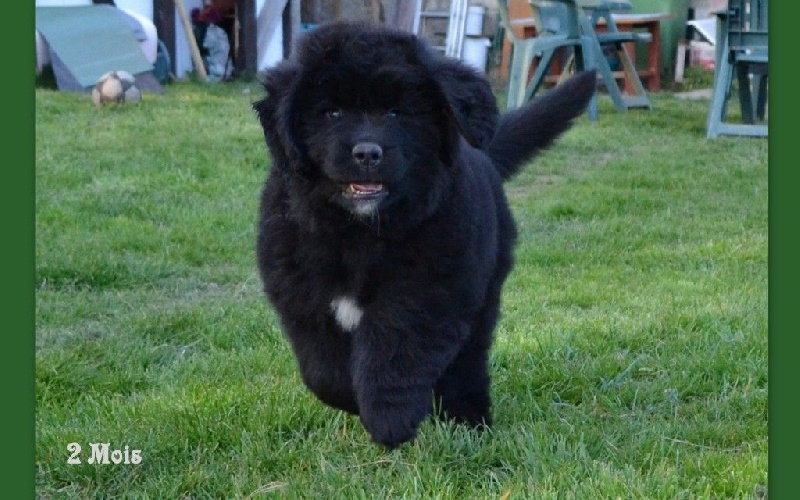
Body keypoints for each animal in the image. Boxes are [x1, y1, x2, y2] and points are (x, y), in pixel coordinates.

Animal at [253, 21, 596, 448]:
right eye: (331, 112)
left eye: (396, 112)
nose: (368, 153)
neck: (359, 233)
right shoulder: (301, 294)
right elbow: (322, 368)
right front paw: (352, 399)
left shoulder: (428, 287)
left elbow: (394, 348)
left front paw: (390, 419)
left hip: (484, 294)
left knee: (466, 364)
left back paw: (470, 421)